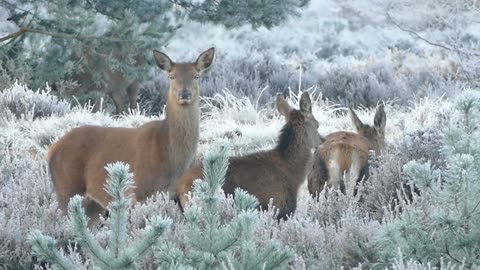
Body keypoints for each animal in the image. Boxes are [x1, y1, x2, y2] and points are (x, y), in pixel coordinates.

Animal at [47, 47, 215, 225]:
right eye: (171, 76)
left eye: (196, 76)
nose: (184, 94)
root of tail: (52, 150)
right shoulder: (139, 191)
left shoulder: (173, 194)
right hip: (67, 188)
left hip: (93, 203)